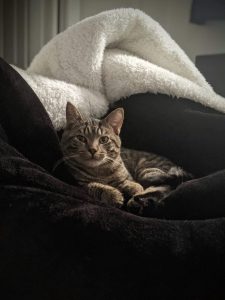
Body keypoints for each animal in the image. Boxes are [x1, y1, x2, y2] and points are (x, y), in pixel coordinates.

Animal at [60, 103, 192, 213]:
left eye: (104, 139)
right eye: (81, 138)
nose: (93, 150)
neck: (100, 170)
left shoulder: (128, 176)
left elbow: (130, 183)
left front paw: (133, 188)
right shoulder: (79, 183)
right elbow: (95, 185)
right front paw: (113, 195)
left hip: (147, 171)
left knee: (164, 186)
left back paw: (138, 201)